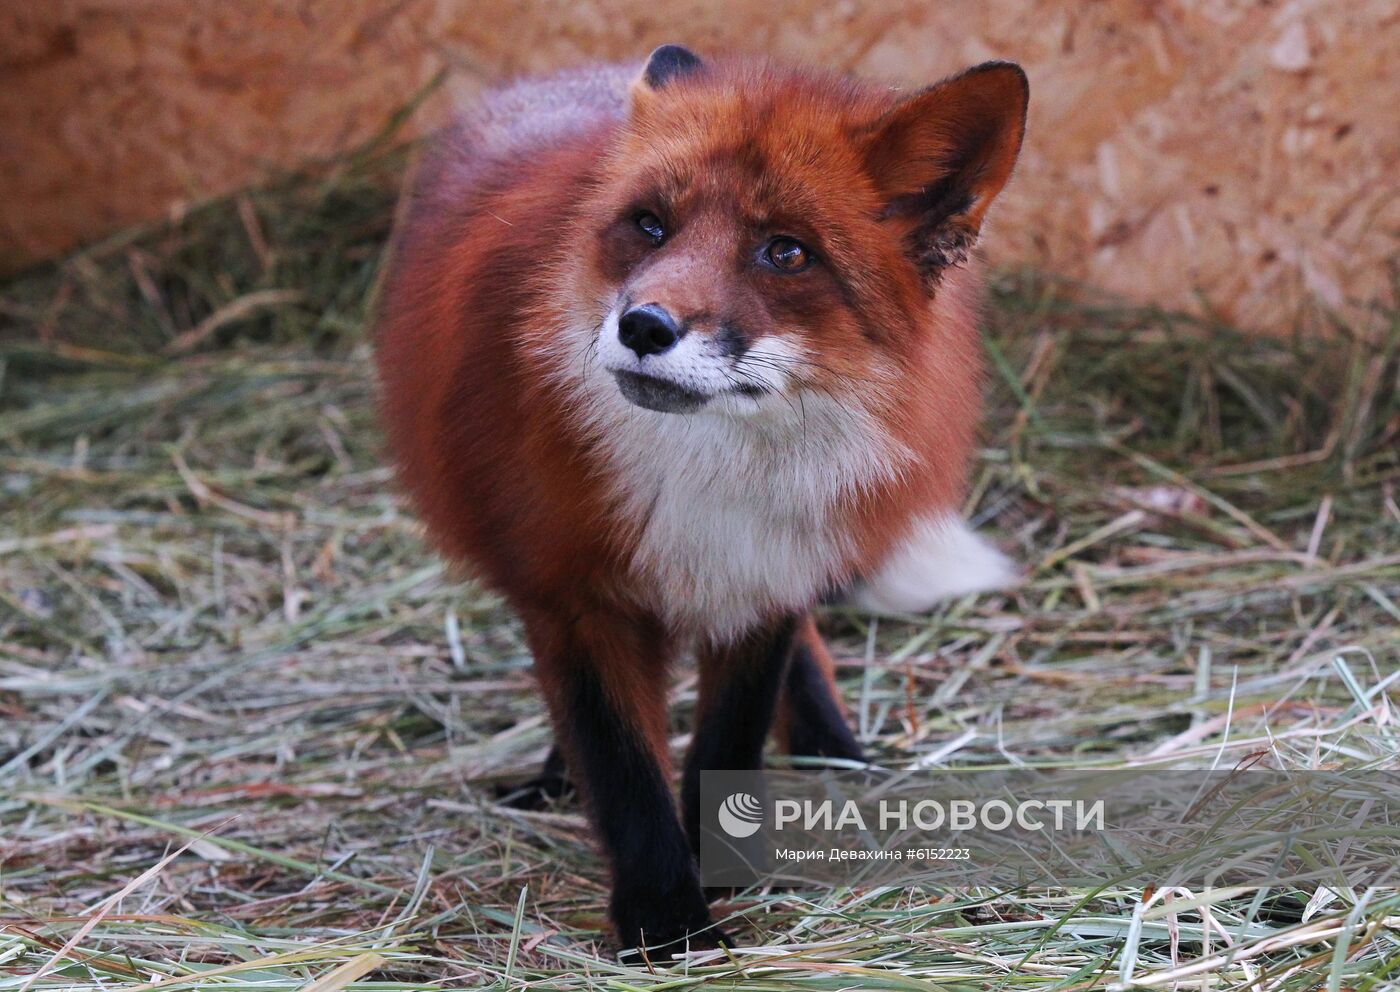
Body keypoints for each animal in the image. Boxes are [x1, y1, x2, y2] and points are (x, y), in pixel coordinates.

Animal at [375, 44, 1030, 951]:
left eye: (786, 252)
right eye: (651, 225)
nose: (644, 326)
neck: (710, 479)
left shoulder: (767, 580)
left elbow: (729, 742)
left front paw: (733, 875)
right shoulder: (576, 597)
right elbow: (622, 768)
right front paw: (667, 926)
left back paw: (833, 750)